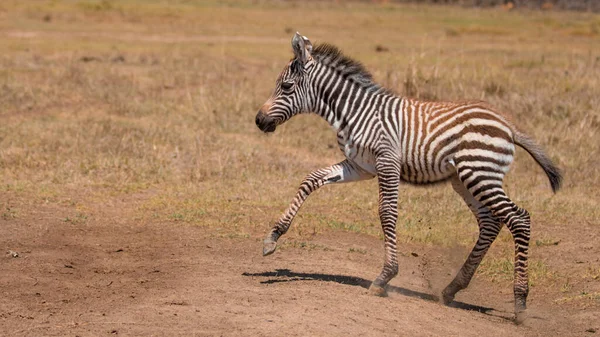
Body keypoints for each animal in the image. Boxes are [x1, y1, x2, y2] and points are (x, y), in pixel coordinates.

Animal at [254, 32, 564, 322]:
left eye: (286, 86)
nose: (258, 120)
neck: (353, 112)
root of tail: (508, 125)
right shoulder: (360, 166)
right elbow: (311, 179)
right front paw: (273, 237)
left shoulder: (387, 161)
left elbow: (387, 213)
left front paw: (385, 277)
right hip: (465, 179)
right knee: (491, 223)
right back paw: (452, 289)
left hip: (479, 173)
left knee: (519, 219)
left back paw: (520, 303)